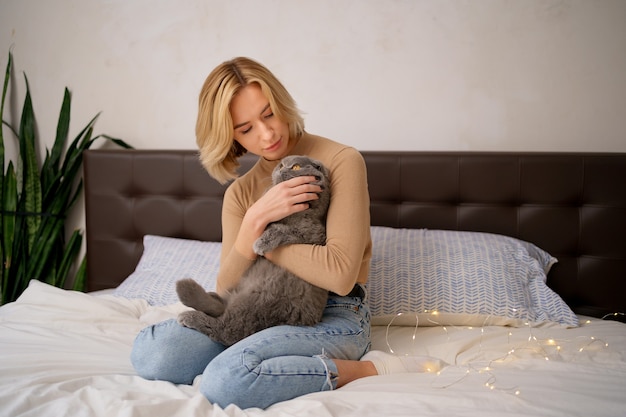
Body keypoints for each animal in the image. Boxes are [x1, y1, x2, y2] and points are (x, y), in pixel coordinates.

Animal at [174, 154, 330, 346]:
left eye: (296, 167)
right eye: (281, 165)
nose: (281, 170)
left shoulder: (315, 234)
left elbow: (281, 229)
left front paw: (261, 243)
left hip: (261, 300)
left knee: (226, 330)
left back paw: (188, 311)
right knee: (221, 308)